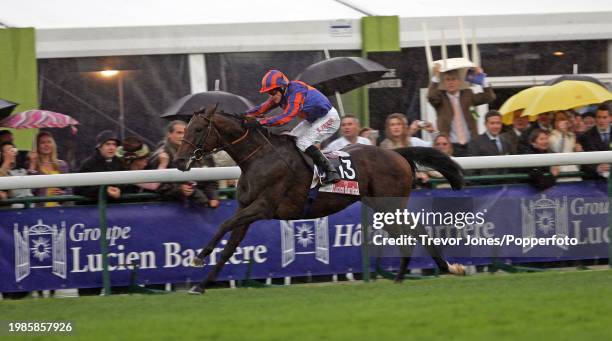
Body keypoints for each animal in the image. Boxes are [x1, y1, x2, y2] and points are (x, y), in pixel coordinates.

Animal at [175, 106, 466, 292]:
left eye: (198, 129)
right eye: (185, 129)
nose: (179, 161)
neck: (258, 158)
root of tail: (398, 153)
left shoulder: (263, 207)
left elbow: (223, 225)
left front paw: (199, 257)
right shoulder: (246, 209)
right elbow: (229, 247)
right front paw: (200, 285)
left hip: (390, 204)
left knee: (416, 231)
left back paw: (444, 268)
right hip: (381, 206)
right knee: (410, 232)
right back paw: (407, 275)